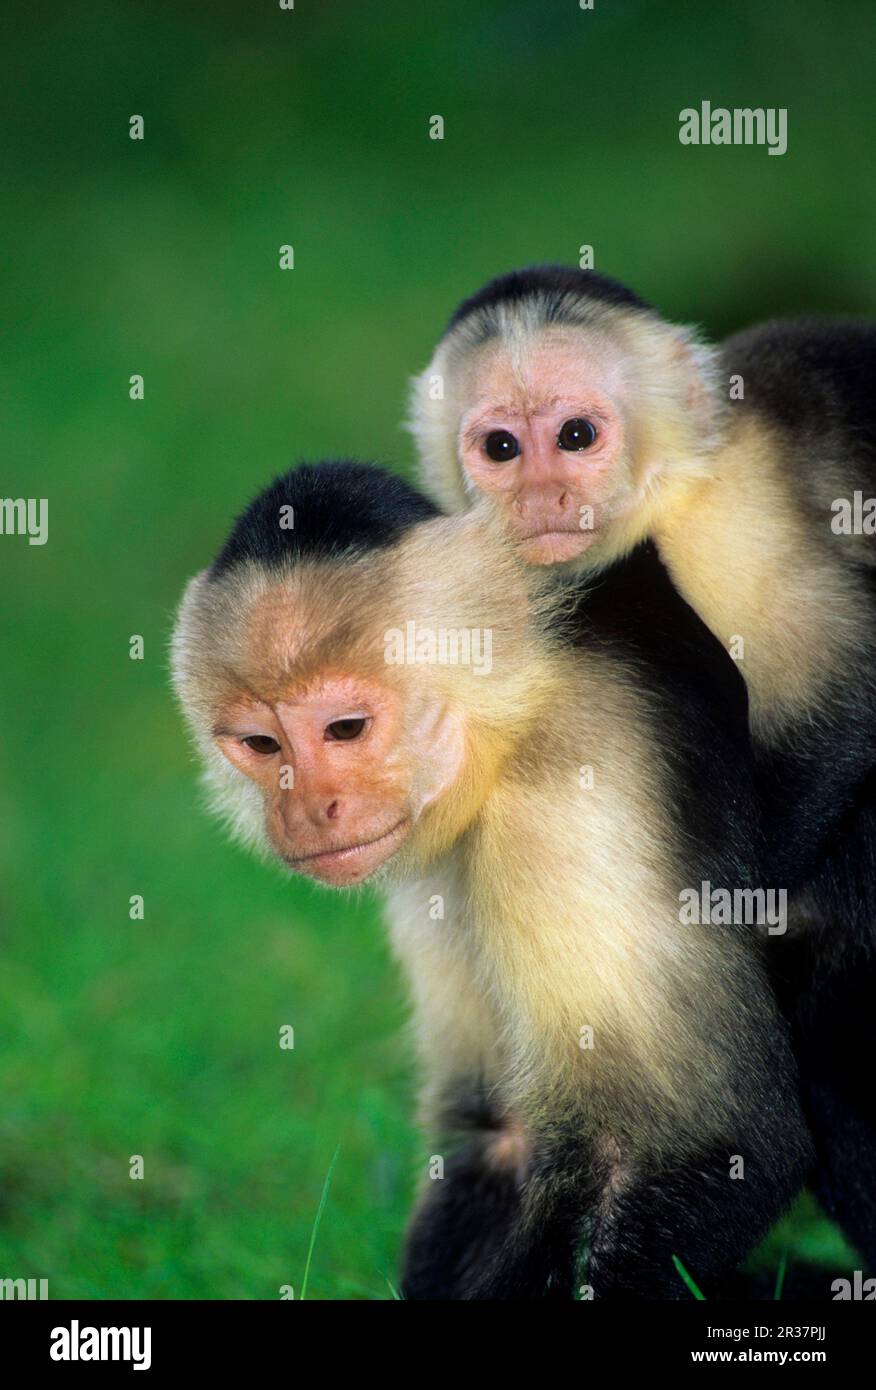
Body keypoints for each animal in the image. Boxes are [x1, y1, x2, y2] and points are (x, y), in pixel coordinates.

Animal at [173, 461, 817, 1295]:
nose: (310, 810)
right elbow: (496, 1133)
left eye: (345, 729)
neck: (517, 718)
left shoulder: (574, 788)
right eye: (261, 744)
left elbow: (711, 1144)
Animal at [411, 262, 876, 1273]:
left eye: (576, 436)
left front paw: (743, 897)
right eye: (501, 446)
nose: (541, 498)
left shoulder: (727, 521)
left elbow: (848, 684)